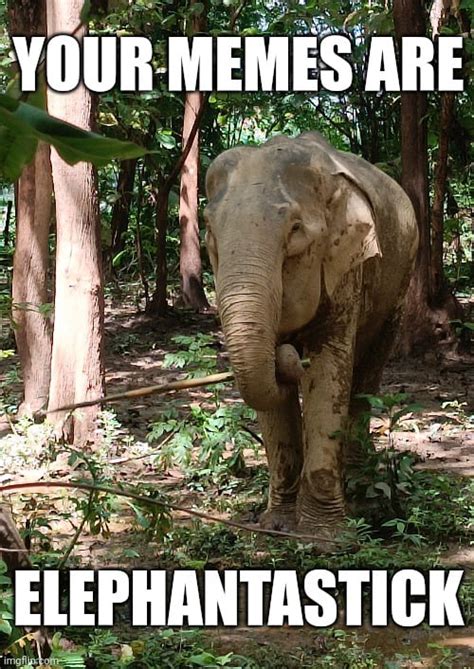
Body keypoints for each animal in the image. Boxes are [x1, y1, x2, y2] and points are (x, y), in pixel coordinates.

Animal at [204, 132, 418, 552]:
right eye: (210, 233)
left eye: (295, 231)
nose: (288, 355)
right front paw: (277, 525)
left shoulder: (347, 265)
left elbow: (328, 369)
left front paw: (323, 537)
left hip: (401, 282)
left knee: (368, 371)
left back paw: (362, 489)